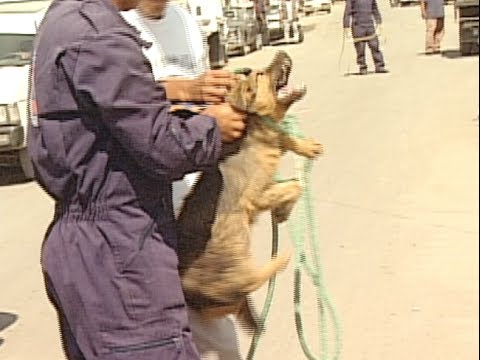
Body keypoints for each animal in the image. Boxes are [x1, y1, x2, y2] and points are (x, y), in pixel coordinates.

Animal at [176, 50, 322, 332]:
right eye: (261, 74)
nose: (281, 51)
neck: (254, 125)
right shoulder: (255, 197)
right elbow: (294, 186)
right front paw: (282, 211)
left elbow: (286, 140)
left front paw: (306, 146)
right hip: (235, 253)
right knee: (249, 282)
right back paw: (279, 261)